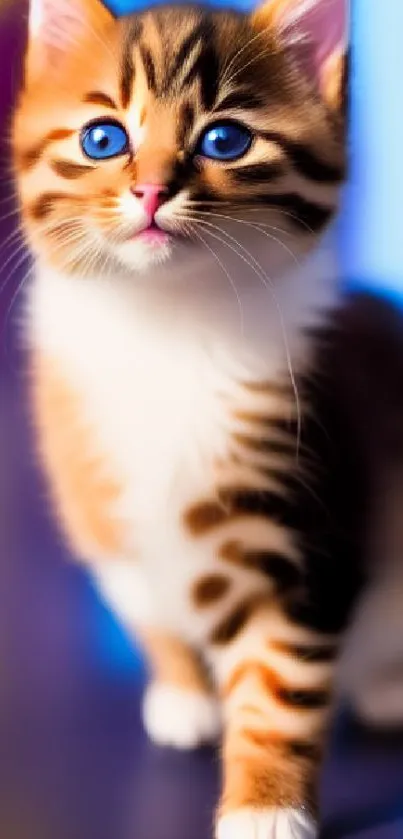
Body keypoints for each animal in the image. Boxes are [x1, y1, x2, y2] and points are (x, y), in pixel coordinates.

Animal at [13, 1, 350, 839]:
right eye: (103, 139)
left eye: (223, 139)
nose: (150, 191)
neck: (165, 320)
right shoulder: (99, 506)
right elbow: (148, 608)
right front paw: (183, 693)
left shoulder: (303, 518)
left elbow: (278, 680)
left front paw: (266, 802)